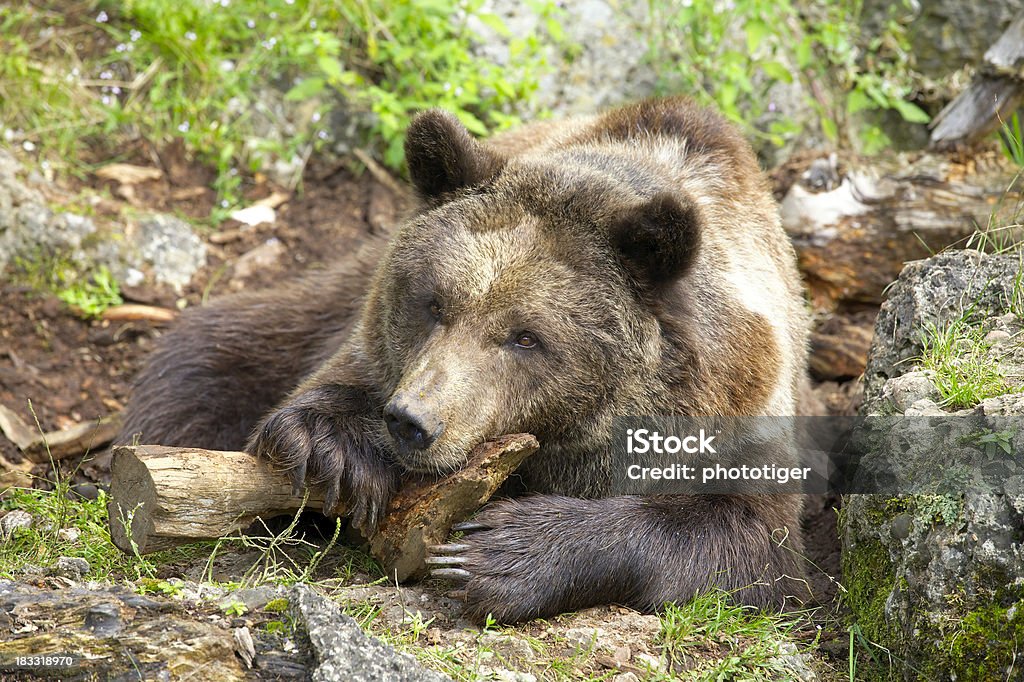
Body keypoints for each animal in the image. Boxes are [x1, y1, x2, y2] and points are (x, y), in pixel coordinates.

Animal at [117, 96, 806, 622]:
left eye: (526, 336)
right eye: (434, 303)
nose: (412, 421)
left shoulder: (739, 410)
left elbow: (745, 543)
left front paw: (504, 553)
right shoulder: (370, 340)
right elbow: (313, 398)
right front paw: (334, 448)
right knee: (207, 360)